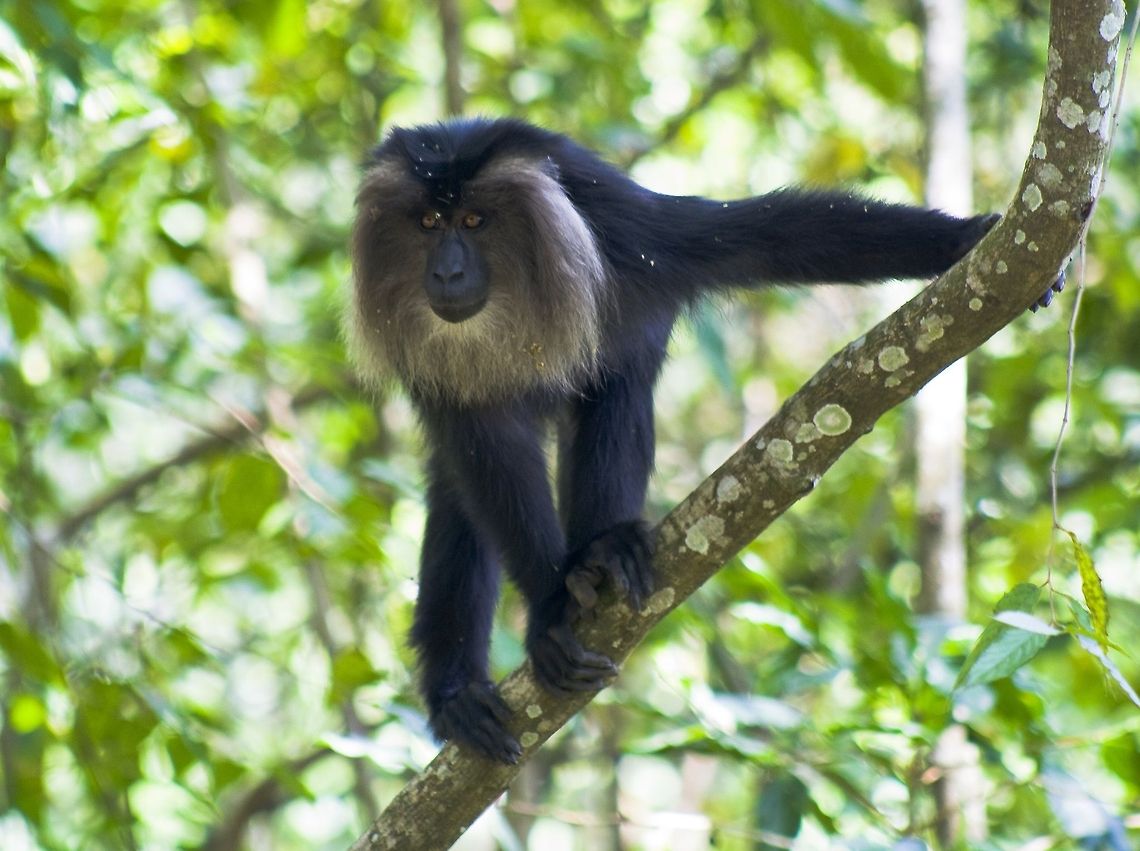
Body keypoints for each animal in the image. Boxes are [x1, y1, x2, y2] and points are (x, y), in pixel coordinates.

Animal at [348, 117, 1062, 763]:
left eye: (473, 222)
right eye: (427, 225)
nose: (446, 273)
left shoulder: (619, 229)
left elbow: (755, 237)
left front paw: (962, 239)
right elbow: (485, 460)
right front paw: (550, 610)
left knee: (617, 394)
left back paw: (605, 550)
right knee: (461, 497)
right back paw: (462, 692)